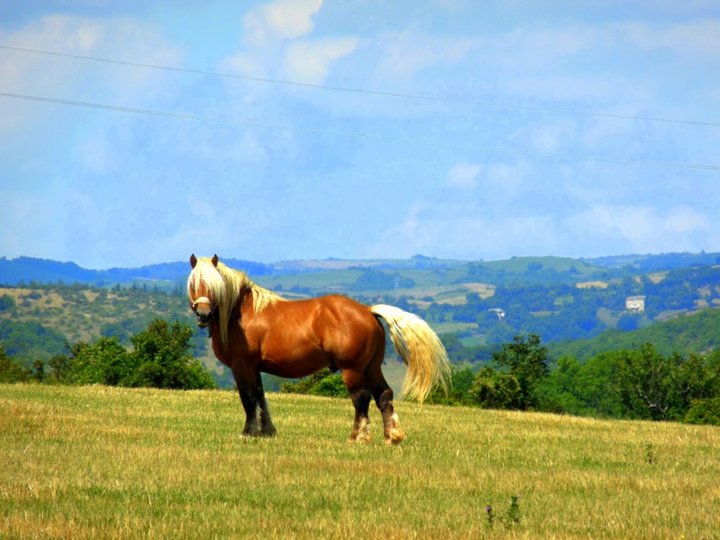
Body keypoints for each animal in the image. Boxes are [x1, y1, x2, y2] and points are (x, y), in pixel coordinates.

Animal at [188, 255, 452, 446]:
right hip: (372, 367)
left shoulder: (243, 365)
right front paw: (267, 431)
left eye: (211, 285)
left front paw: (249, 433)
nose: (202, 314)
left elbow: (249, 397)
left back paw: (357, 436)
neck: (240, 313)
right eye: (193, 284)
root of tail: (368, 310)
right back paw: (392, 436)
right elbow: (261, 397)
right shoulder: (256, 368)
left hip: (352, 369)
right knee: (384, 395)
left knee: (361, 398)